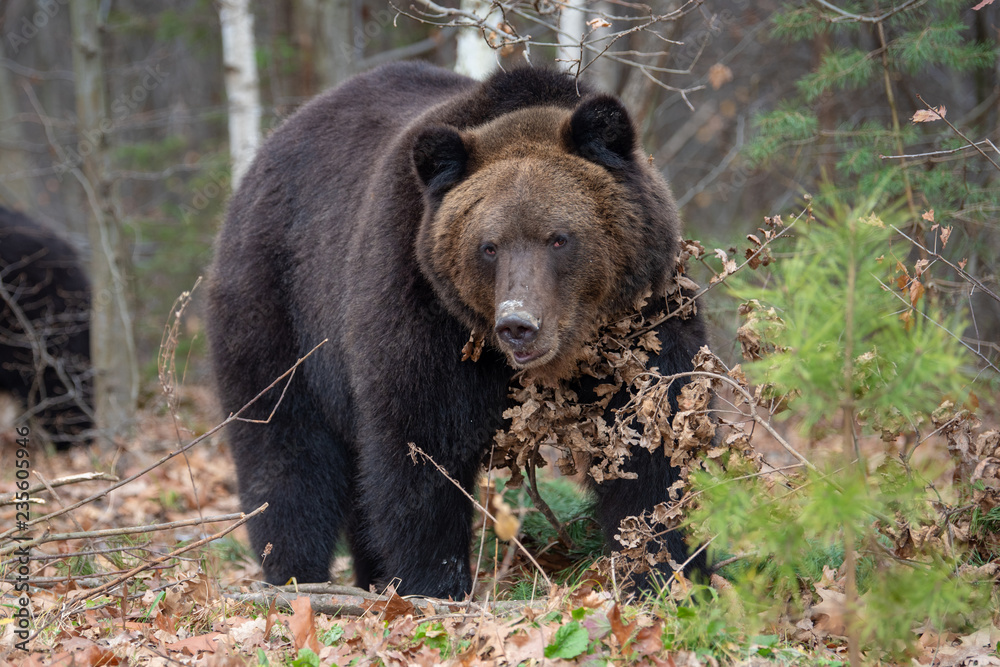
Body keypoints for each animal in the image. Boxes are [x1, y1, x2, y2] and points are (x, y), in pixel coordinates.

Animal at [207, 61, 712, 596]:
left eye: (559, 238)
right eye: (488, 246)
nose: (517, 325)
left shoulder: (642, 321)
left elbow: (654, 443)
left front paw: (664, 571)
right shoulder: (423, 307)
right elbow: (421, 450)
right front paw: (434, 582)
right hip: (279, 303)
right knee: (285, 450)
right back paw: (295, 575)